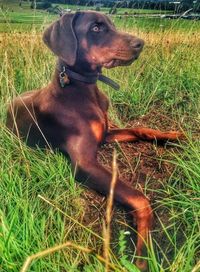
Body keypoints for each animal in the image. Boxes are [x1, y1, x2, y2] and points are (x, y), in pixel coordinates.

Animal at [6, 11, 182, 270]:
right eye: (96, 28)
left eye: (112, 24)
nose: (140, 43)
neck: (83, 90)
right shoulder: (84, 164)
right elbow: (139, 199)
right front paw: (141, 255)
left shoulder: (106, 133)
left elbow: (140, 128)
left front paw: (172, 136)